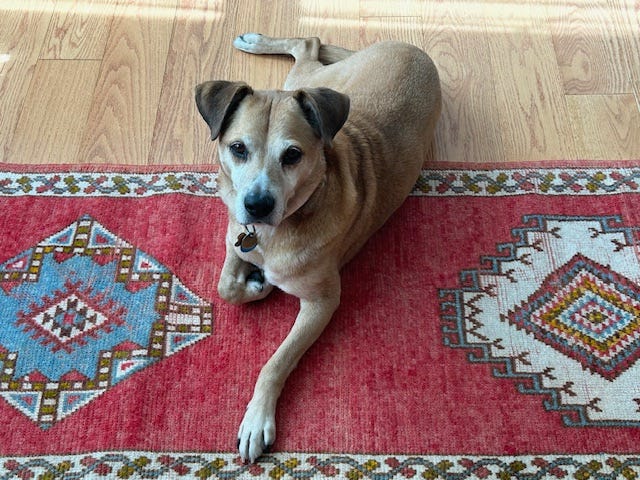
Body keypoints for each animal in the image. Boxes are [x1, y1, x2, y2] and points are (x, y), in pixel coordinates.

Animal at [195, 32, 440, 462]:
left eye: (292, 155)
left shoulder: (322, 303)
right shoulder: (234, 237)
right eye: (238, 148)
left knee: (309, 44)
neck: (274, 232)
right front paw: (255, 283)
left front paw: (257, 418)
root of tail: (411, 48)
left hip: (314, 82)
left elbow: (276, 363)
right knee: (309, 43)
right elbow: (225, 287)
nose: (257, 205)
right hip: (317, 81)